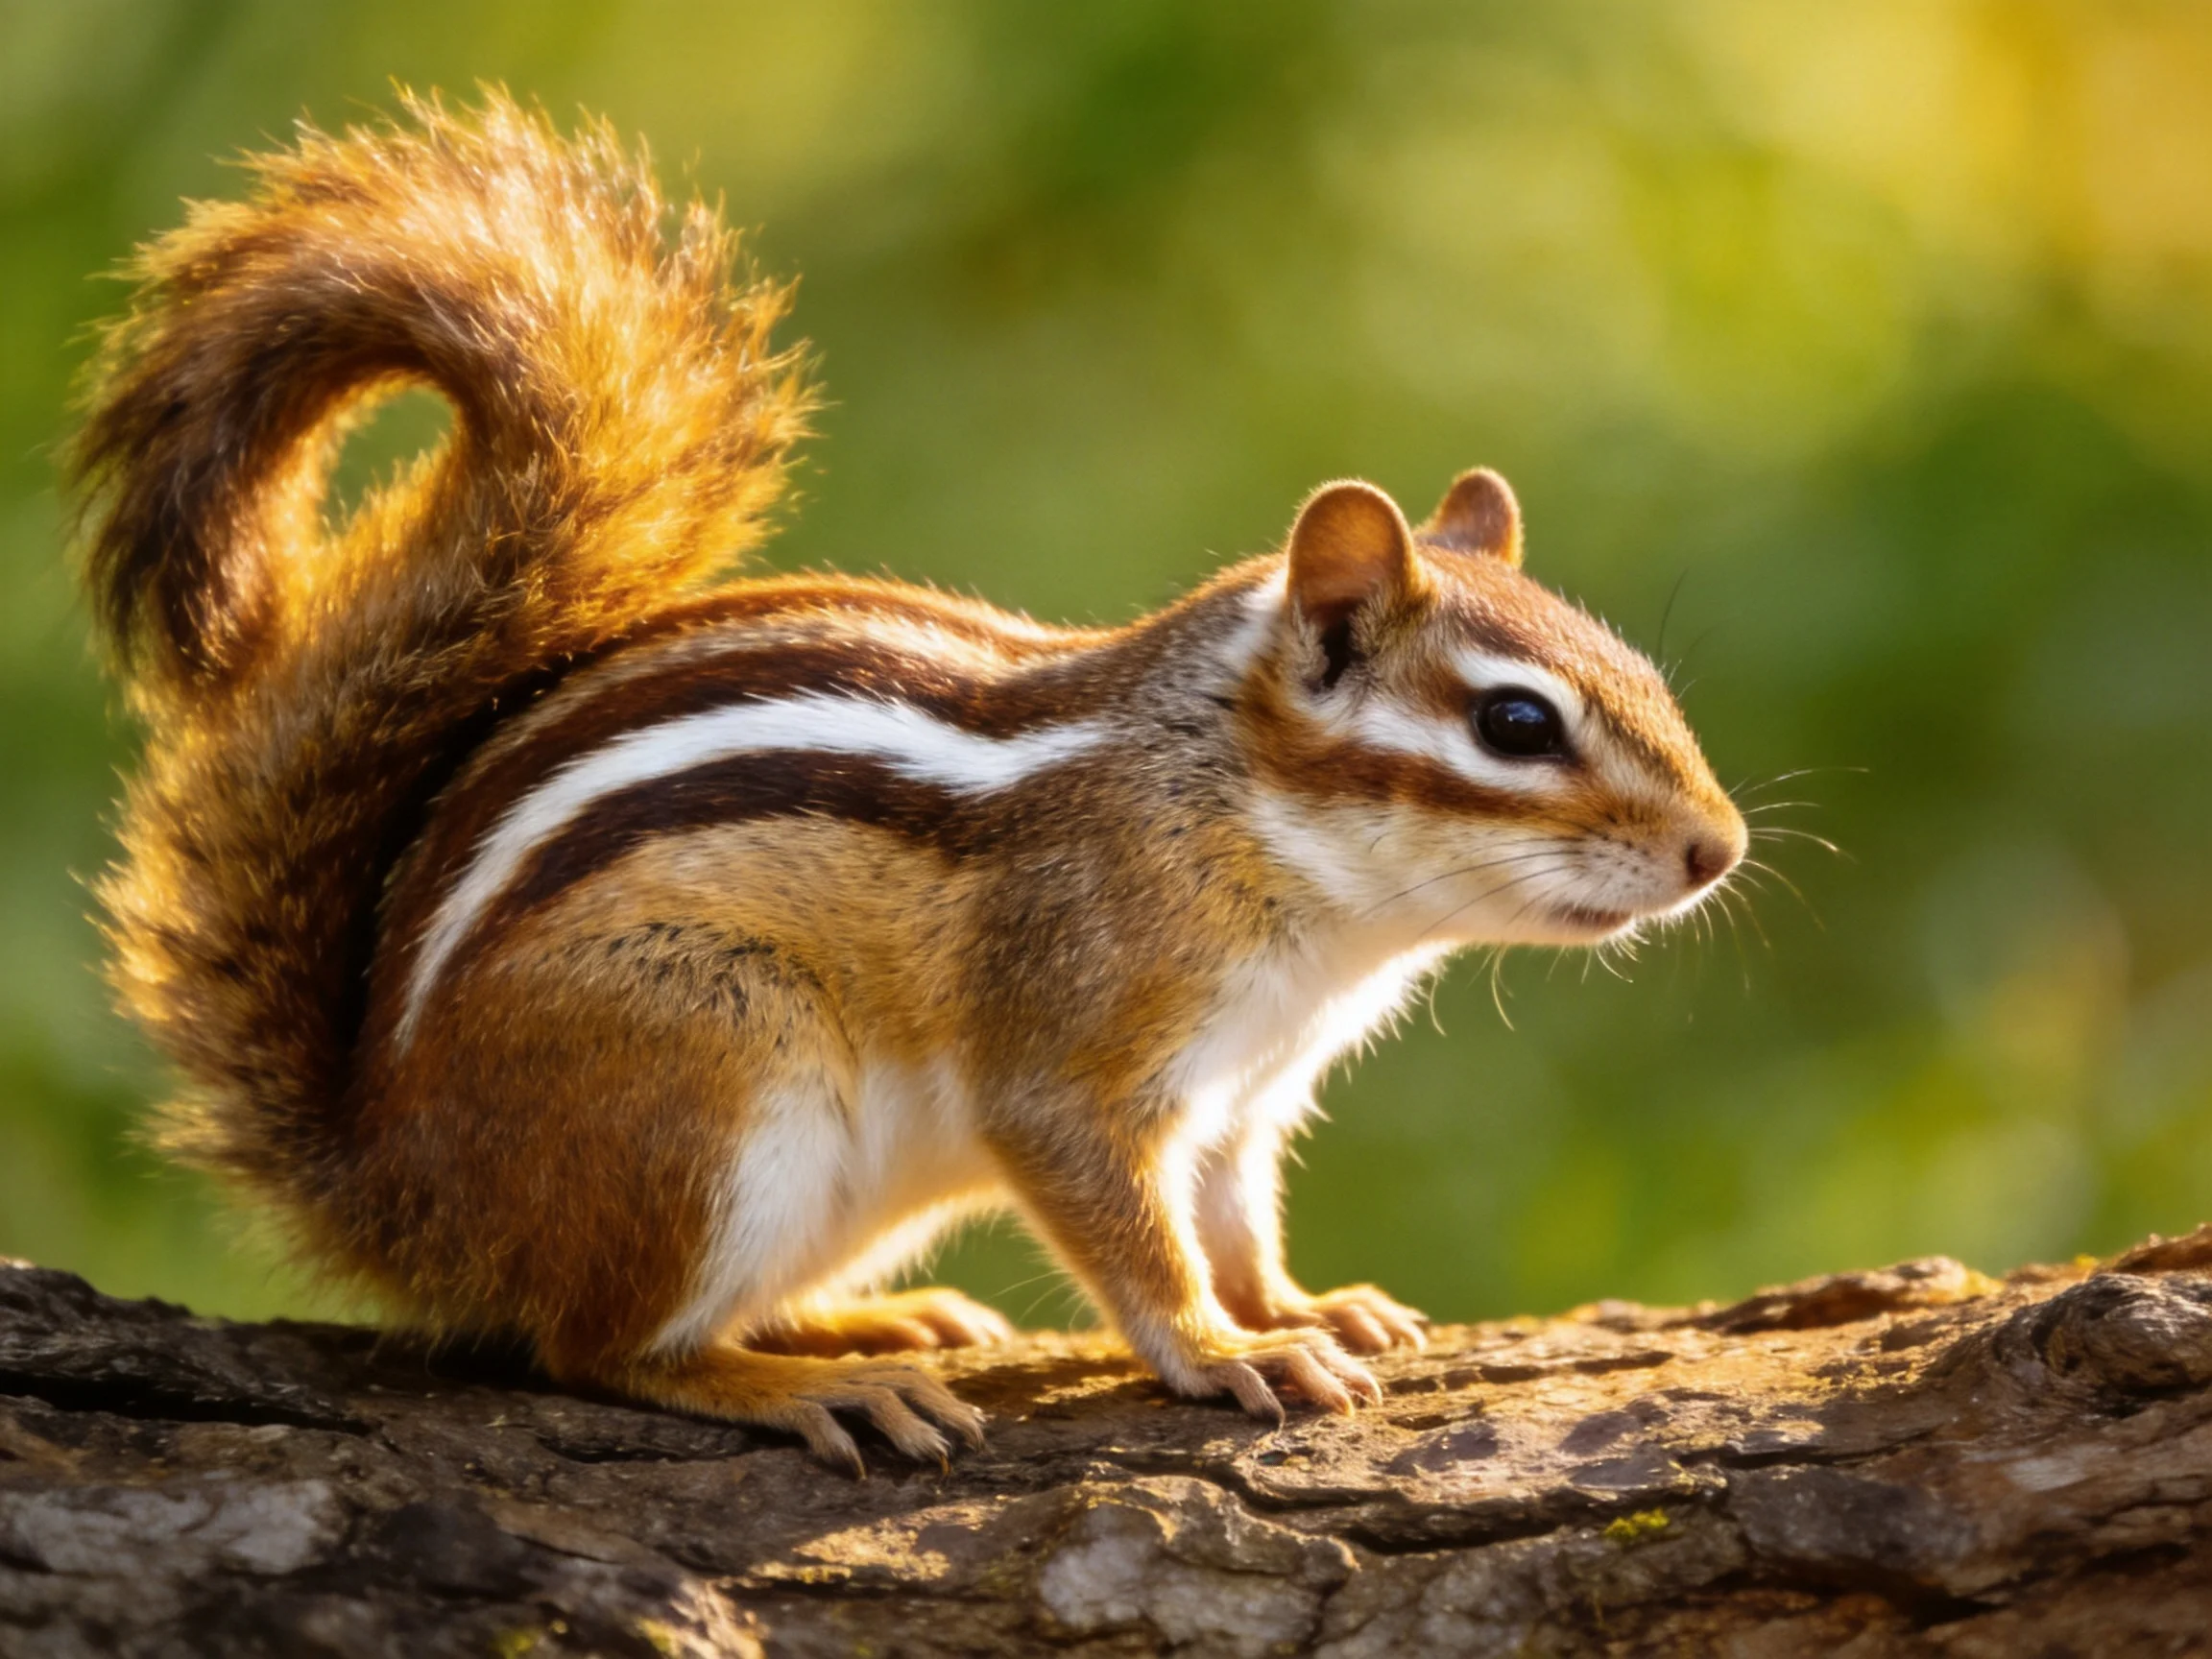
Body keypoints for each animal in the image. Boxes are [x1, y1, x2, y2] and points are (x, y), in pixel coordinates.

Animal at [70, 93, 1746, 1473]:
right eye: (1516, 725)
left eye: (1643, 675)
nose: (1718, 850)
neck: (1256, 835)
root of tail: (390, 1180)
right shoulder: (1075, 1049)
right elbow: (1130, 1230)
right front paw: (1224, 1353)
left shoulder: (1244, 1101)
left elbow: (1233, 1222)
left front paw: (1306, 1306)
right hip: (701, 1072)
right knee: (593, 1346)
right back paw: (808, 1384)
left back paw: (872, 1324)